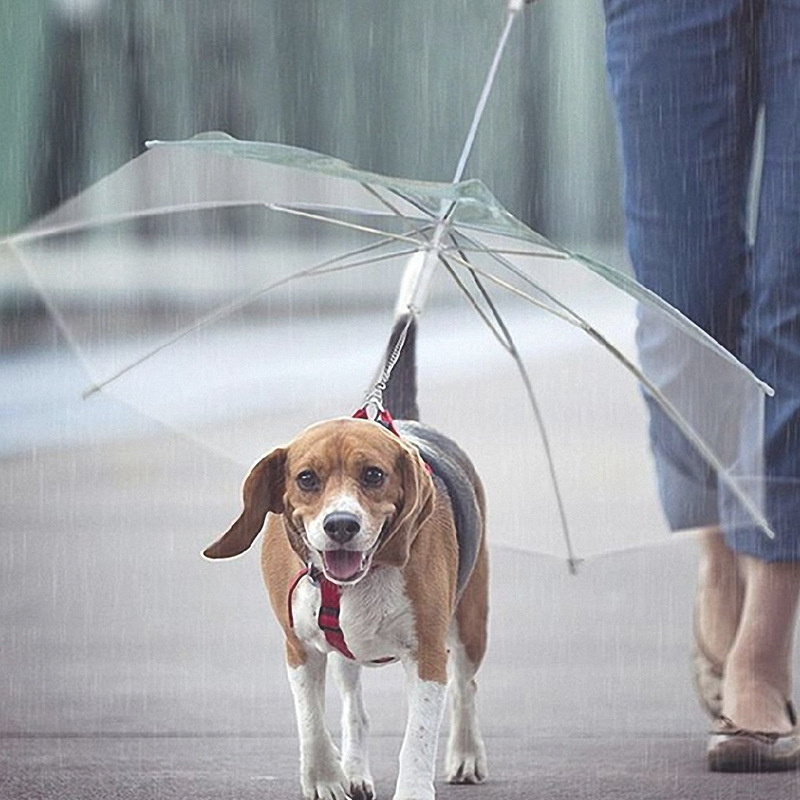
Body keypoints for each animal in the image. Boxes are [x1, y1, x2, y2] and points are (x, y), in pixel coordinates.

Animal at [203, 318, 488, 800]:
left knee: (465, 687)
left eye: (373, 475)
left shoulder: (428, 653)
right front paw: (325, 777)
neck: (356, 578)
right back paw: (354, 769)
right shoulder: (298, 646)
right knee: (355, 710)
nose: (341, 525)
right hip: (344, 657)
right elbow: (311, 722)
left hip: (470, 623)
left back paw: (466, 753)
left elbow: (418, 738)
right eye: (306, 479)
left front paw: (413, 789)